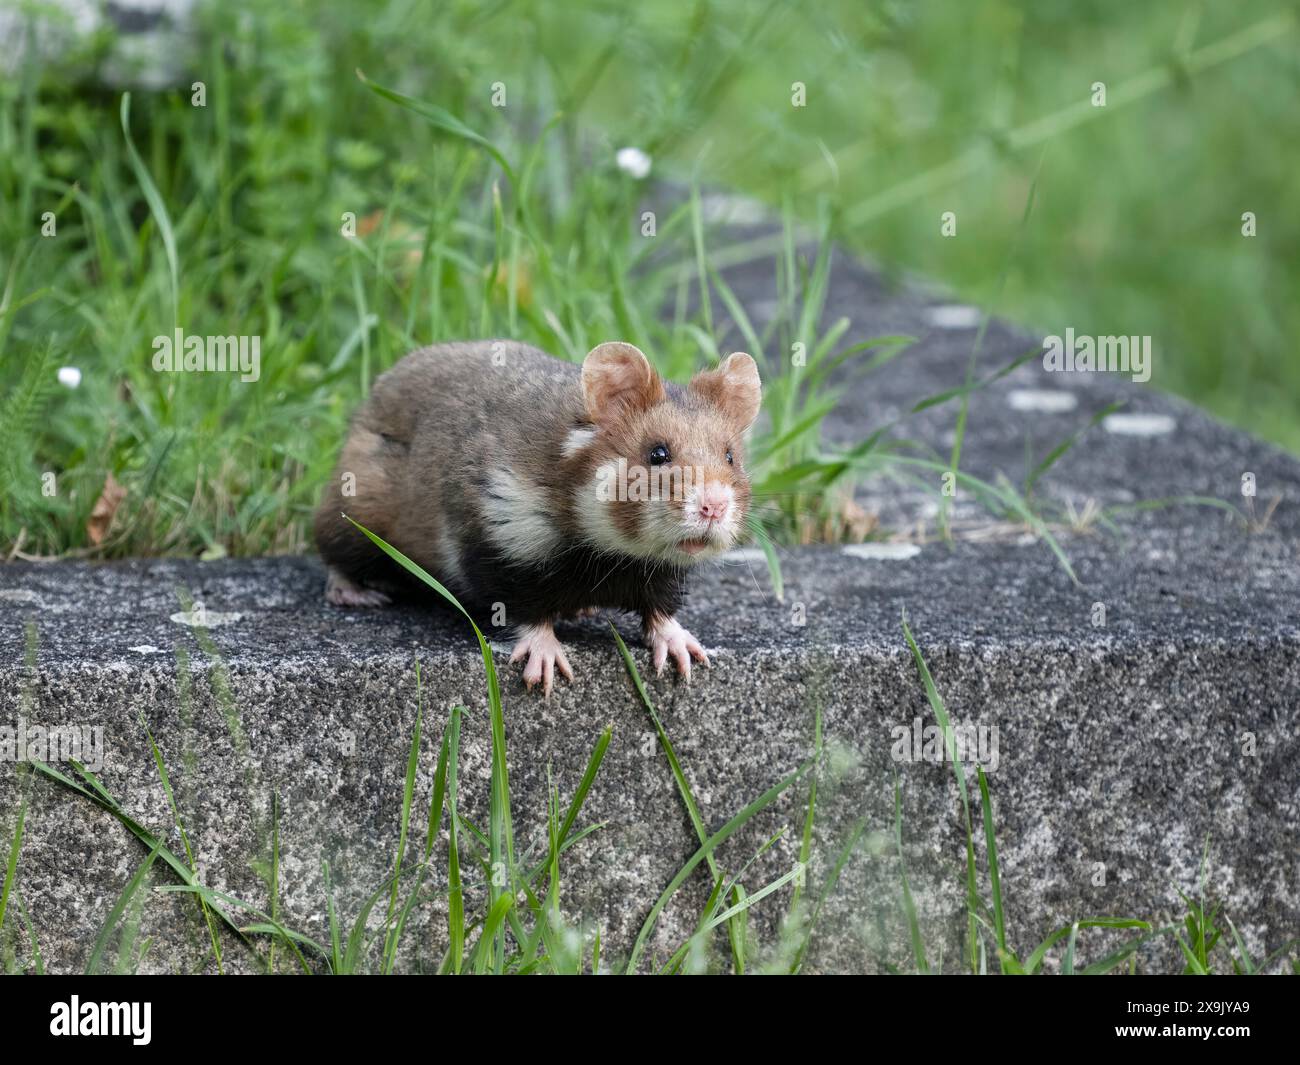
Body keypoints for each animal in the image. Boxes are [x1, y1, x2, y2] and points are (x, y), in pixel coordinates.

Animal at [315, 338, 759, 696]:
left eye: (729, 457)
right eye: (658, 454)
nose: (714, 507)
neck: (607, 547)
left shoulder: (658, 571)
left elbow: (661, 608)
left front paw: (687, 657)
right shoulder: (498, 539)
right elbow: (523, 608)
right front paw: (544, 673)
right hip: (356, 507)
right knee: (332, 549)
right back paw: (358, 595)